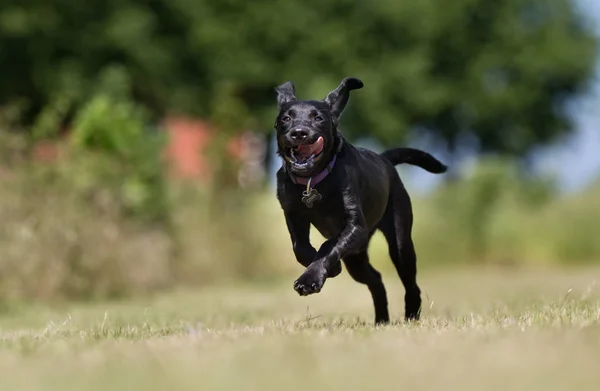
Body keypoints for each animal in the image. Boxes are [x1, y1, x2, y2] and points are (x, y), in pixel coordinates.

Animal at [272, 77, 446, 324]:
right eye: (286, 118)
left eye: (318, 118)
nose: (299, 133)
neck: (314, 181)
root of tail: (384, 159)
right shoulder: (293, 215)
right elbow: (301, 248)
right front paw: (328, 269)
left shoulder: (356, 227)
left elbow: (329, 246)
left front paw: (310, 279)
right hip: (357, 261)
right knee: (376, 279)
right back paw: (381, 319)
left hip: (400, 243)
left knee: (410, 283)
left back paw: (411, 314)